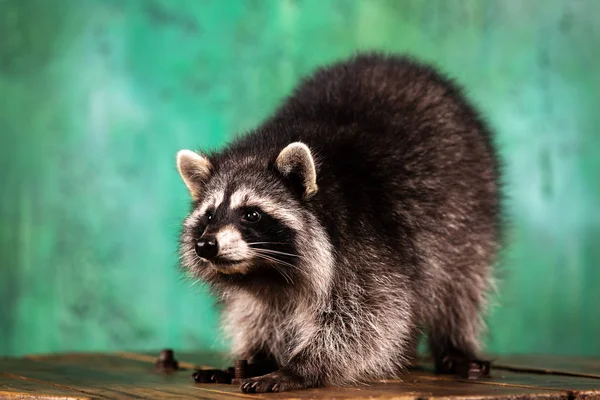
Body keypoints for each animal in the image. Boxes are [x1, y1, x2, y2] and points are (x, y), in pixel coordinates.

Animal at [175, 51, 502, 392]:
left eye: (251, 214)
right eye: (210, 214)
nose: (206, 245)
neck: (267, 269)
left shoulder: (366, 244)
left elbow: (372, 318)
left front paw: (300, 367)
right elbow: (256, 311)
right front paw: (258, 356)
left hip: (469, 214)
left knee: (460, 286)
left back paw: (456, 344)